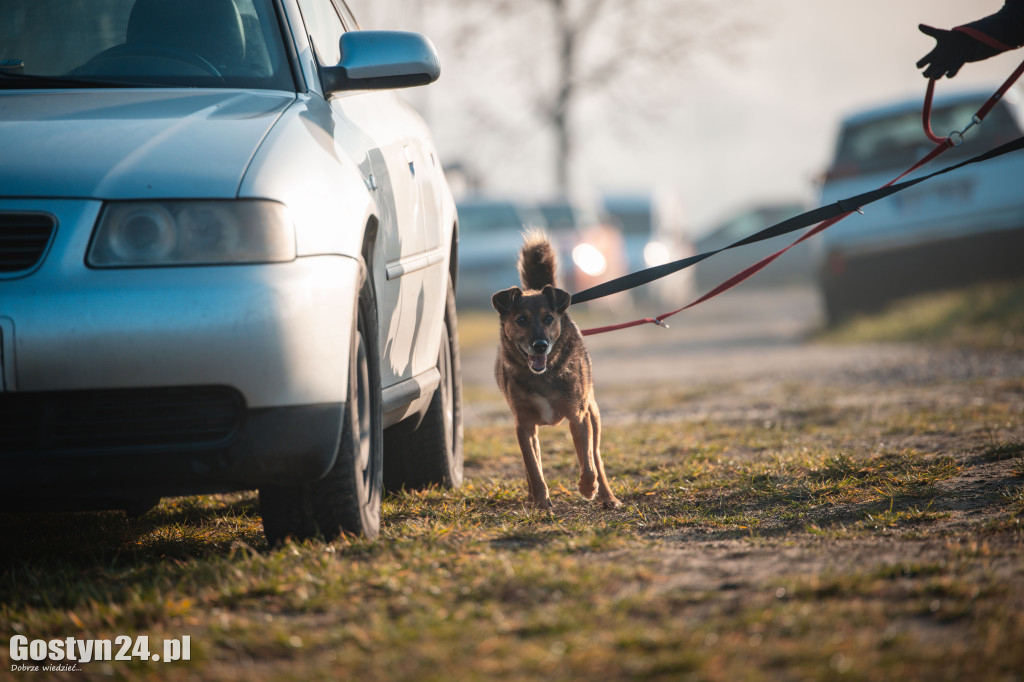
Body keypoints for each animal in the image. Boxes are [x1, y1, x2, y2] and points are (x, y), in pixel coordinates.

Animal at [491, 231, 618, 507]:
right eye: (521, 320)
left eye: (548, 319)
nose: (540, 345)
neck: (543, 374)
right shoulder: (524, 425)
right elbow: (533, 468)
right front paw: (541, 501)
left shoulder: (579, 416)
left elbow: (587, 462)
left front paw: (587, 488)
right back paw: (532, 498)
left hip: (593, 414)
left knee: (596, 457)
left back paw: (607, 496)